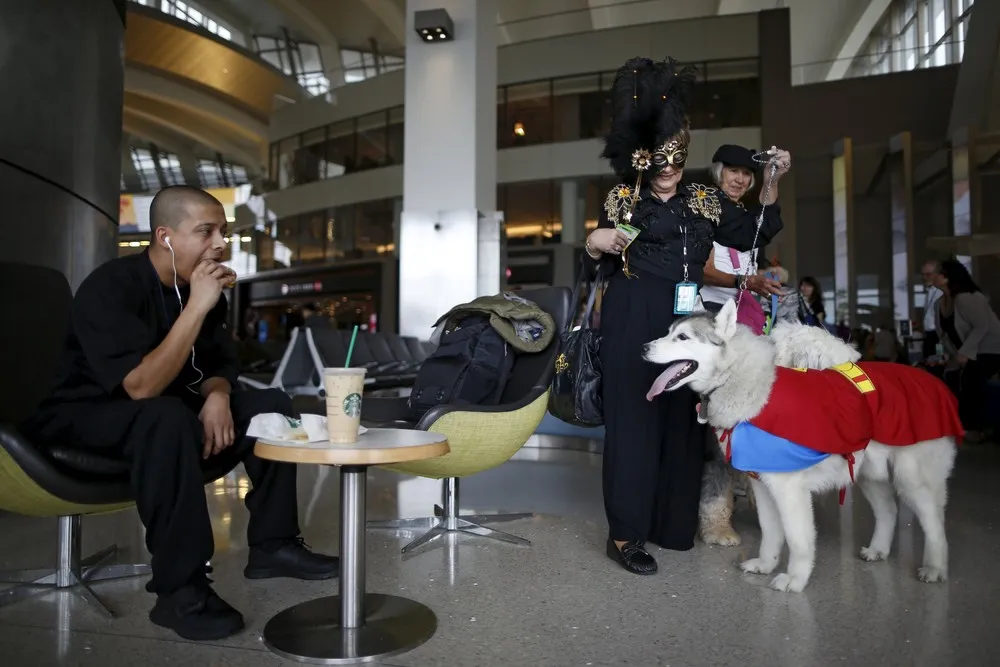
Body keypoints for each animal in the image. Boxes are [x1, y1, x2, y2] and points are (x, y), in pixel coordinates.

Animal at [640, 300, 960, 592]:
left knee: (935, 525)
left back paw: (935, 568)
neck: (750, 386)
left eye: (683, 337)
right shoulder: (763, 486)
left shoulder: (790, 491)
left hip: (914, 482)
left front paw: (795, 580)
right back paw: (878, 550)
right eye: (669, 332)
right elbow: (771, 533)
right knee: (889, 511)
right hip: (871, 474)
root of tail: (936, 384)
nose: (643, 348)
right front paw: (765, 565)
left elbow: (798, 540)